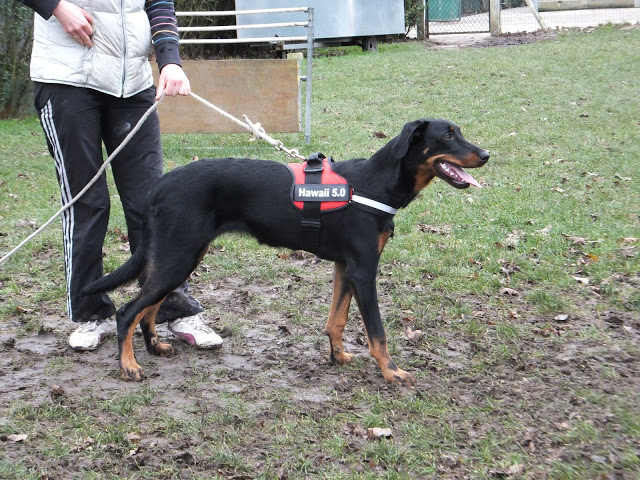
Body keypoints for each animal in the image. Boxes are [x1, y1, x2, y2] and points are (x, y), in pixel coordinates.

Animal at [82, 119, 488, 386]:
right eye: (447, 135)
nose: (485, 155)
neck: (376, 184)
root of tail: (160, 186)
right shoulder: (364, 271)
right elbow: (378, 332)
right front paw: (391, 372)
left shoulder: (345, 268)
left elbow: (336, 320)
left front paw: (337, 356)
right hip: (178, 257)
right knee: (127, 311)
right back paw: (129, 366)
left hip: (180, 257)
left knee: (148, 307)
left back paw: (154, 348)